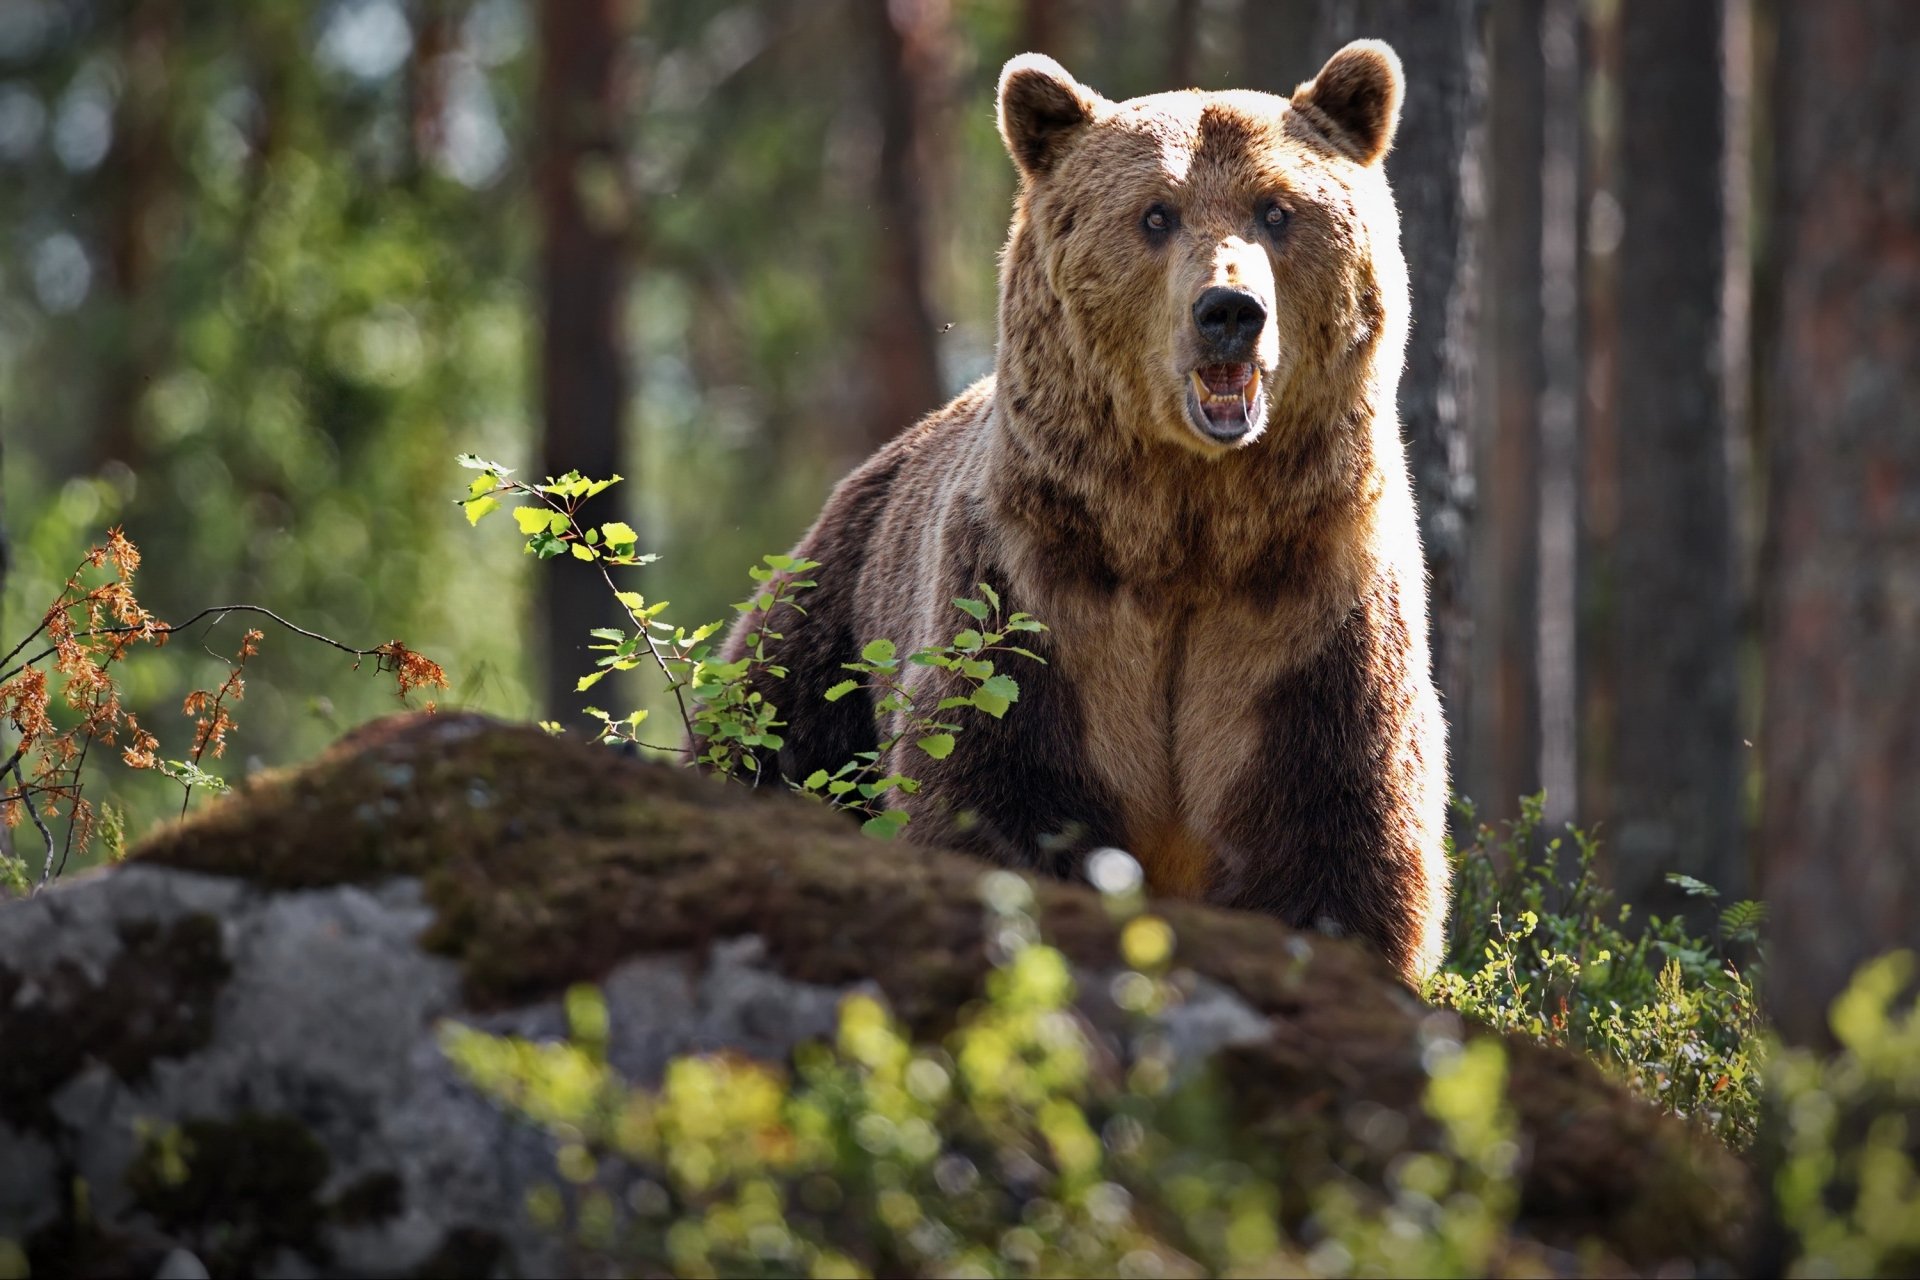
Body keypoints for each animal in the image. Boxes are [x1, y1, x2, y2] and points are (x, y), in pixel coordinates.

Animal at [715, 40, 1449, 982]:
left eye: (1277, 209)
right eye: (1156, 214)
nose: (1230, 311)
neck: (1188, 526)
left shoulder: (1304, 620)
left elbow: (1332, 838)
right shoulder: (1041, 600)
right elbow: (997, 793)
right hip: (827, 628)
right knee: (774, 741)